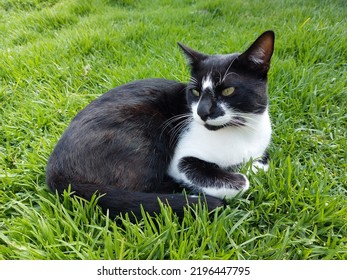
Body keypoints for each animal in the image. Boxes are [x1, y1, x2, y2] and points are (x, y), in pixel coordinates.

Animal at [45, 30, 274, 219]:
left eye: (228, 90)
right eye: (195, 92)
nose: (201, 112)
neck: (241, 133)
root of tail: (56, 171)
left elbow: (262, 163)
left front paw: (253, 166)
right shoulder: (180, 160)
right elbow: (241, 181)